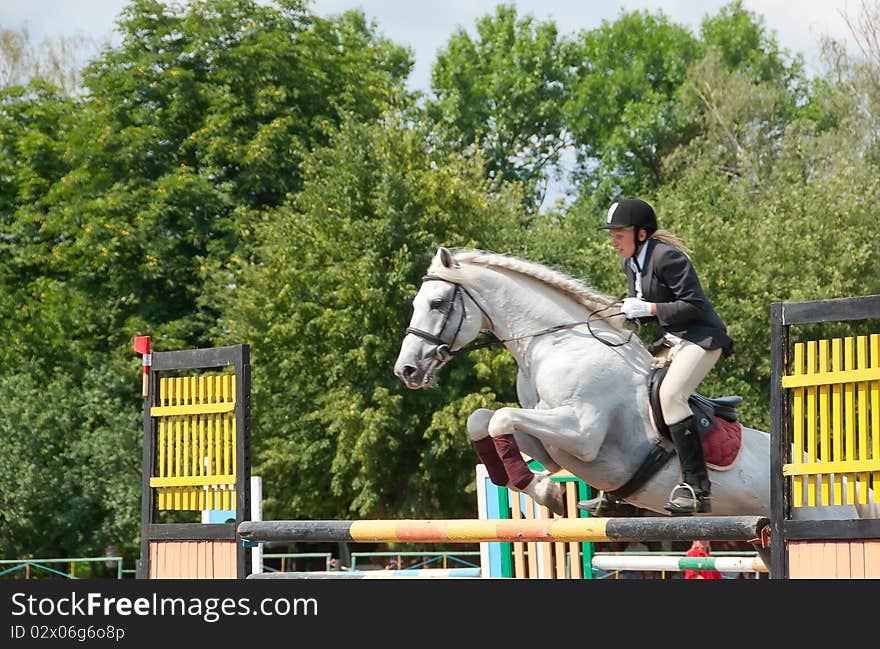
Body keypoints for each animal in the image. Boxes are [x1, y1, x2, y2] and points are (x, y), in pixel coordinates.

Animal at [396, 246, 876, 524]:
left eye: (436, 303)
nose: (406, 370)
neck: (556, 343)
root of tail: (843, 486)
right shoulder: (547, 436)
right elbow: (484, 420)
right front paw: (540, 488)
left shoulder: (583, 433)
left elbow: (499, 419)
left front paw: (546, 493)